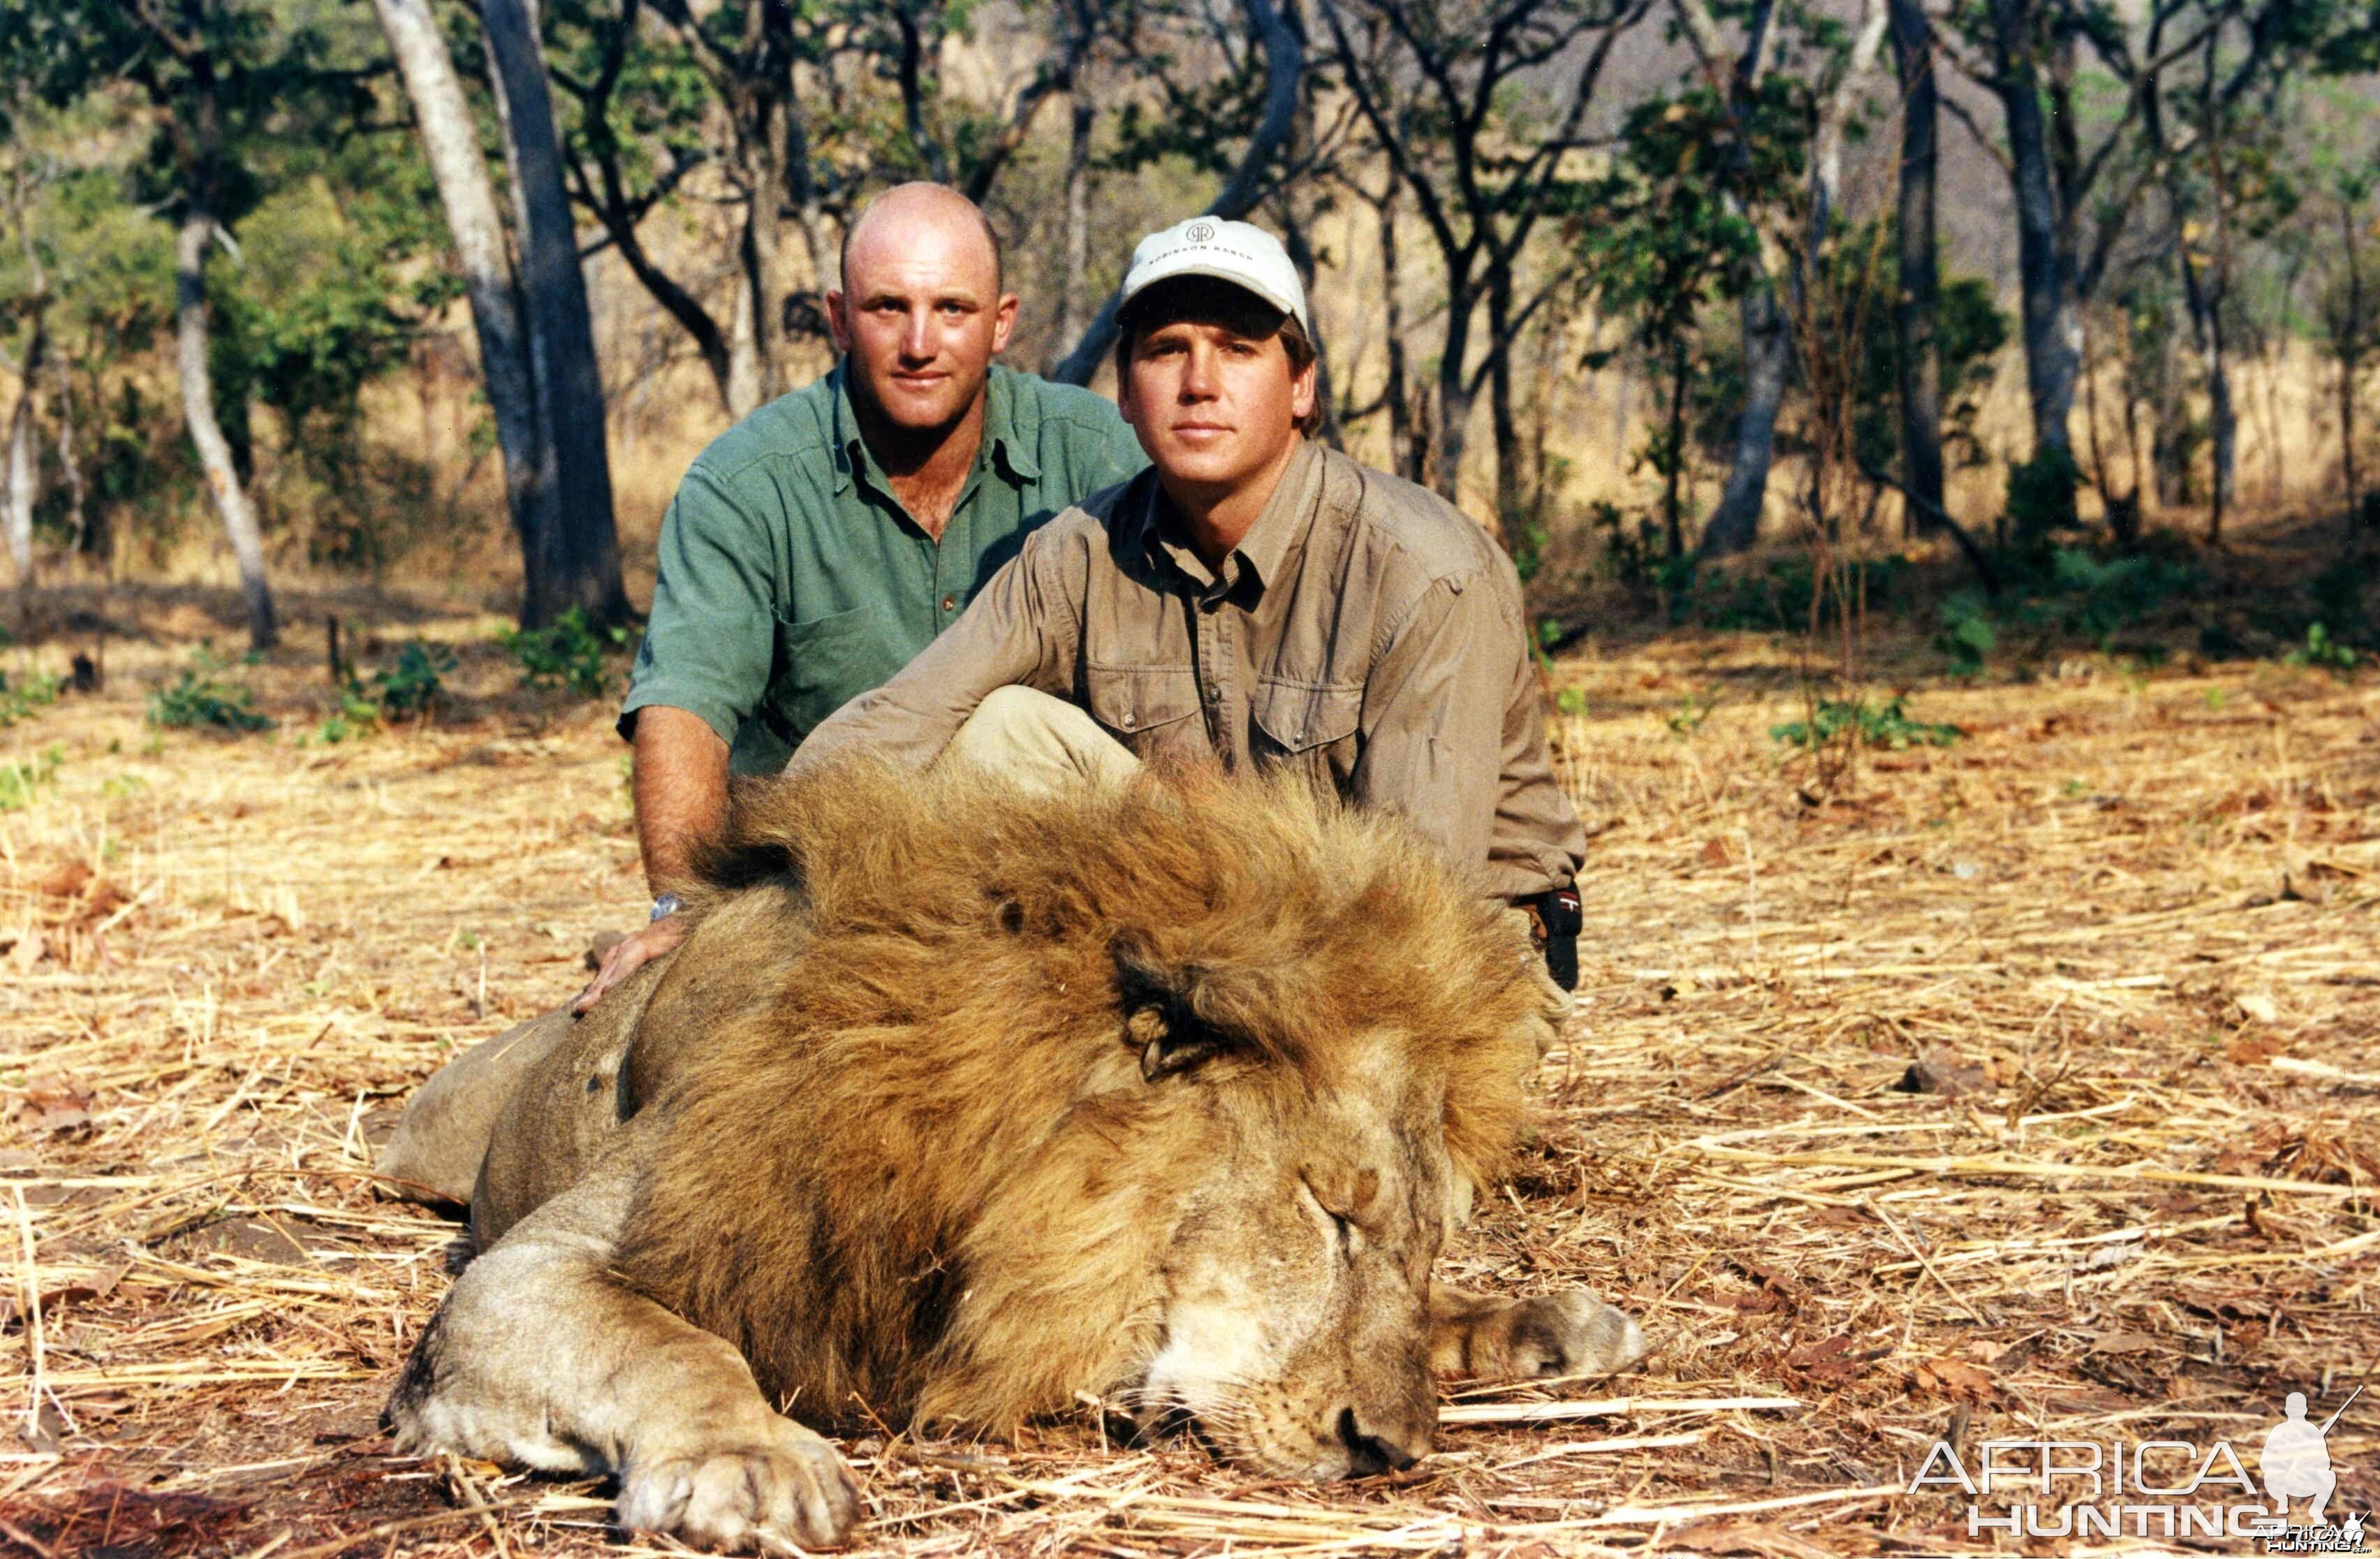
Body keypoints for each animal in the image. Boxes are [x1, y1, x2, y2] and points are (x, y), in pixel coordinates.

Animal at [395, 761, 1656, 1551]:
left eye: (1419, 1242)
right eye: (1327, 1213)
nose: (1387, 1452)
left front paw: (1538, 1323)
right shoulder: (529, 1271)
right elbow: (674, 1344)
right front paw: (750, 1460)